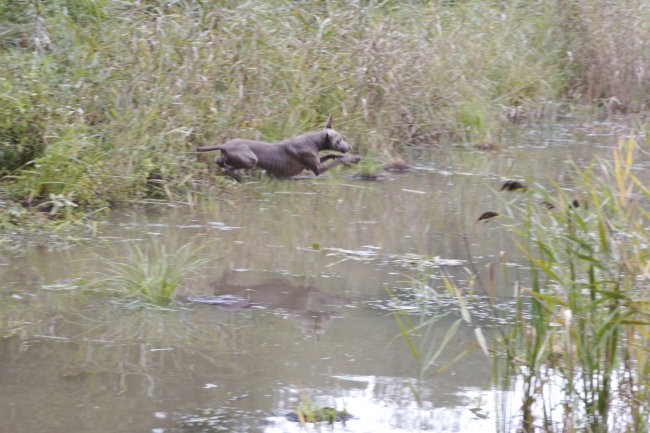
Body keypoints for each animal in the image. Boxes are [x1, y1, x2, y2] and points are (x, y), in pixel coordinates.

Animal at [195, 114, 362, 181]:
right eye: (339, 140)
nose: (349, 146)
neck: (313, 141)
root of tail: (224, 145)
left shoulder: (314, 163)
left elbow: (332, 156)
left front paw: (345, 156)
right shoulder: (317, 170)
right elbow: (337, 161)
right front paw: (352, 157)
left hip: (228, 157)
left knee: (219, 162)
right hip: (251, 159)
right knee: (227, 169)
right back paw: (238, 177)